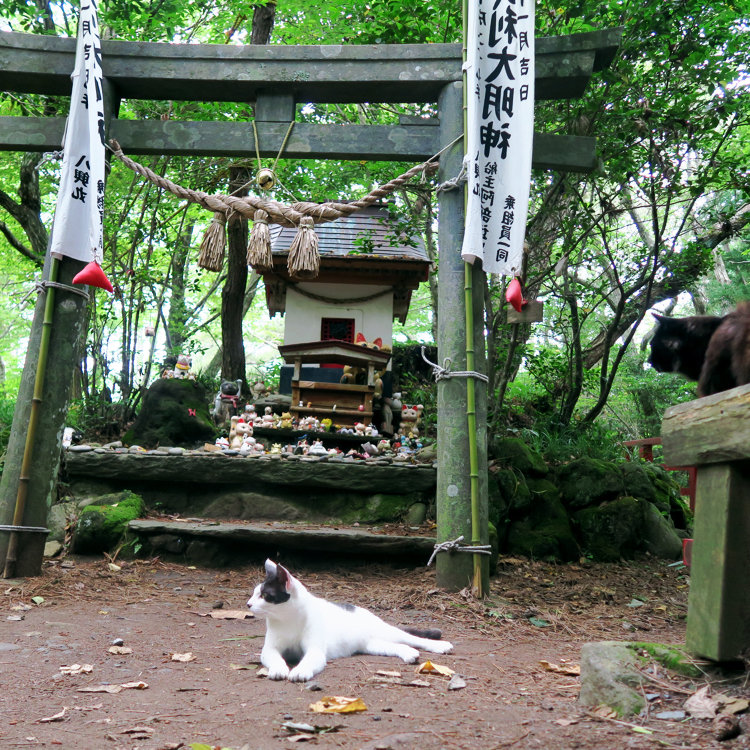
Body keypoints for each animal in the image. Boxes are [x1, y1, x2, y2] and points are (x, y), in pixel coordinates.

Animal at [250, 560, 456, 684]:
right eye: (253, 593)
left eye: (265, 596)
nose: (248, 604)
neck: (288, 620)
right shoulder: (269, 649)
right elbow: (275, 658)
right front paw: (279, 669)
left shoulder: (315, 650)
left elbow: (308, 660)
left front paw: (300, 671)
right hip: (372, 645)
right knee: (396, 646)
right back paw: (409, 654)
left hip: (387, 632)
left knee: (412, 638)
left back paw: (440, 646)